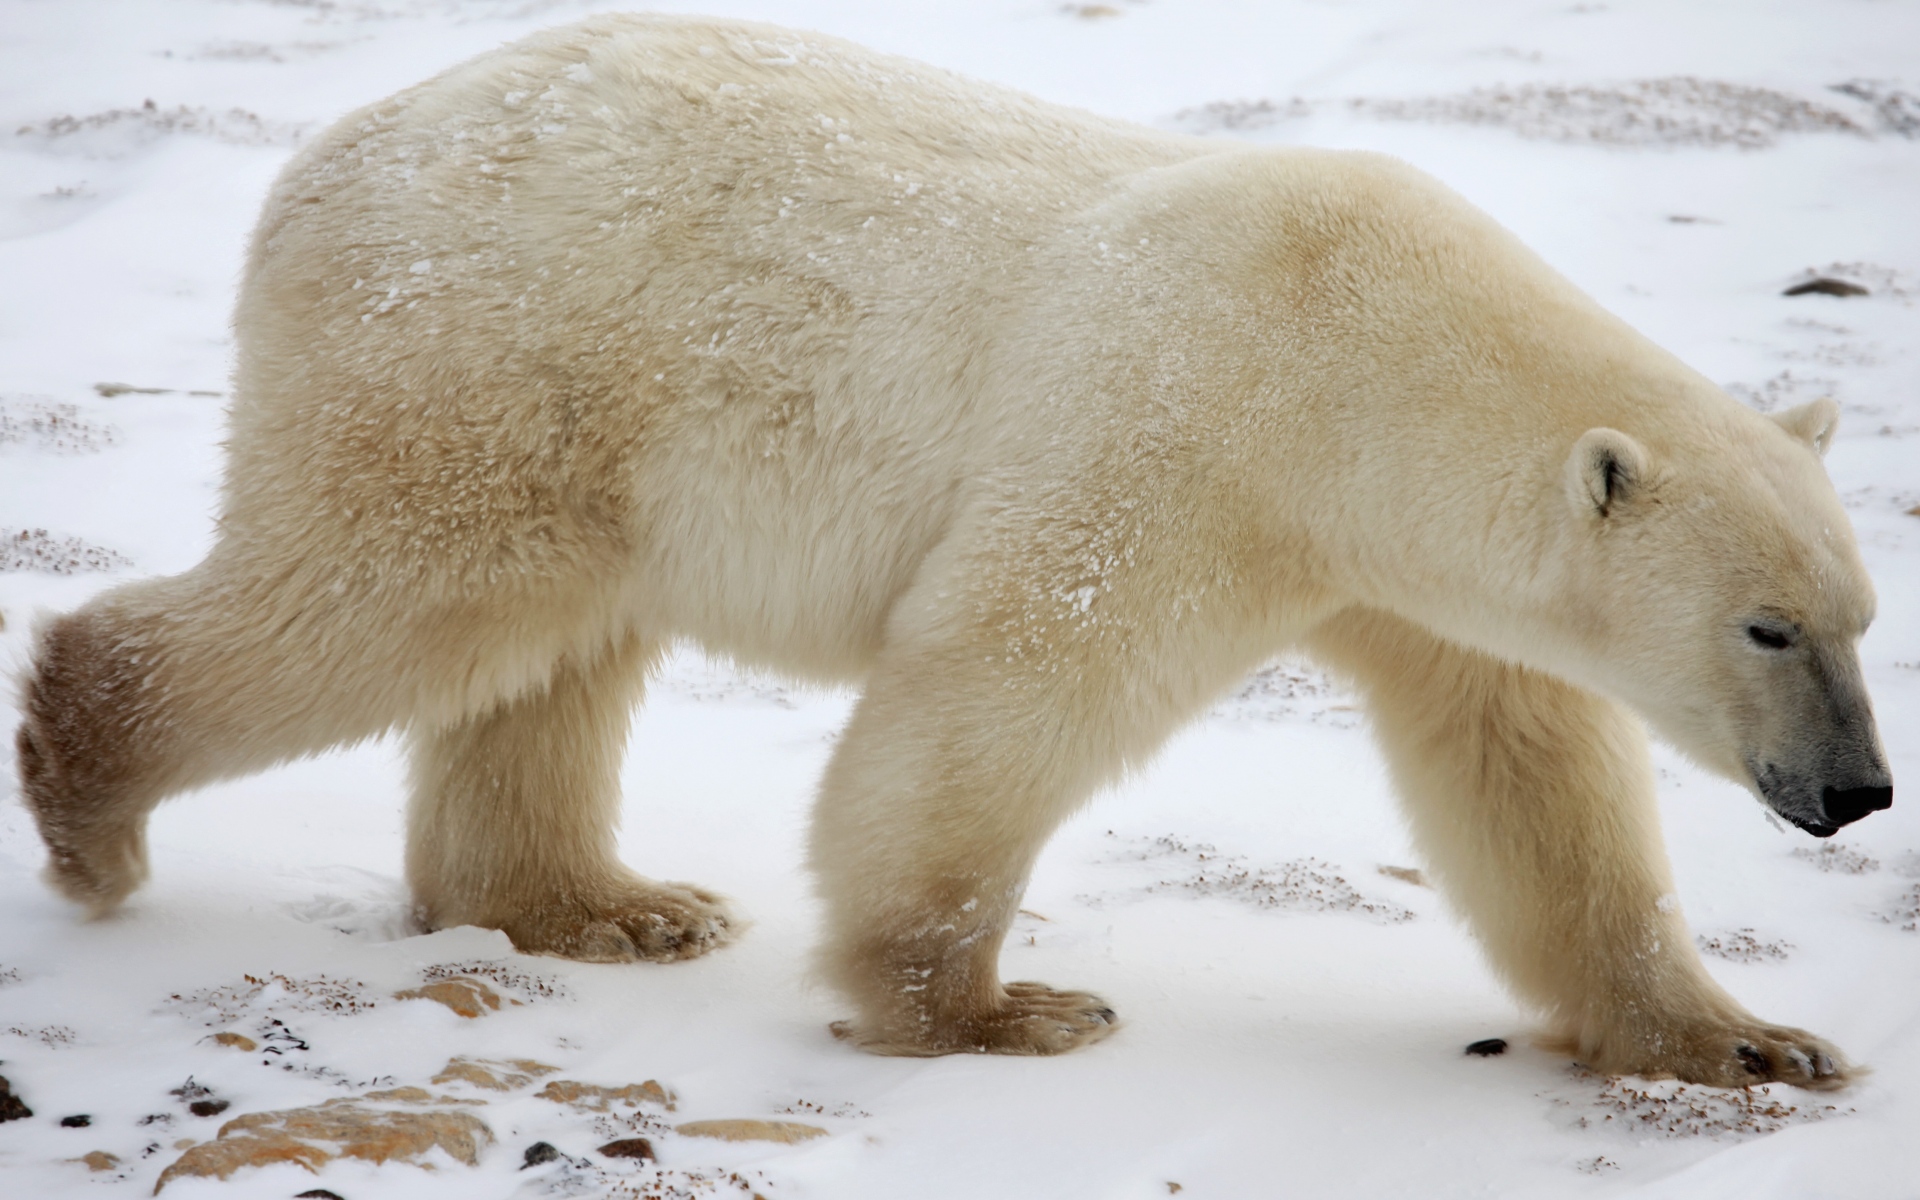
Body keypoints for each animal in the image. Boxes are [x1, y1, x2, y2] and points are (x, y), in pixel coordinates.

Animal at [14, 14, 1892, 1089]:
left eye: (1862, 616)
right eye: (1768, 630)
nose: (1858, 793)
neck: (1361, 352)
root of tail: (321, 161)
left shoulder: (1415, 573)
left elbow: (1533, 783)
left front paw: (1750, 1041)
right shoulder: (1184, 430)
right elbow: (1007, 680)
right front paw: (996, 1009)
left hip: (579, 417)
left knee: (548, 656)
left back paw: (604, 908)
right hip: (488, 351)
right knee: (392, 596)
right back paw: (93, 800)